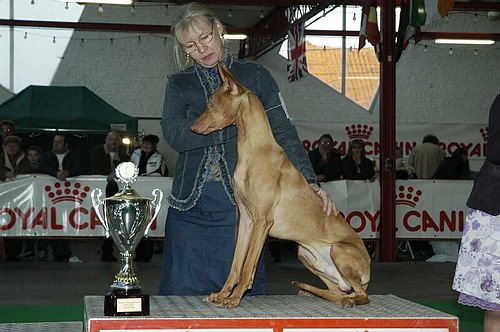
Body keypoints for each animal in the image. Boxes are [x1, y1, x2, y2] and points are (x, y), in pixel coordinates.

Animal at [191, 63, 372, 308]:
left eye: (211, 101)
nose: (192, 127)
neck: (254, 150)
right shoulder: (247, 220)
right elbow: (236, 265)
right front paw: (222, 294)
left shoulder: (262, 221)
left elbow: (247, 267)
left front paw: (235, 298)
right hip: (305, 253)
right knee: (337, 291)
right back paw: (314, 292)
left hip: (339, 250)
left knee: (361, 295)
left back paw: (349, 300)